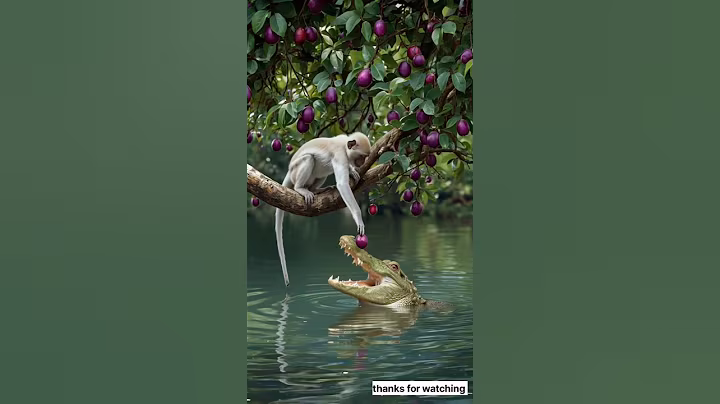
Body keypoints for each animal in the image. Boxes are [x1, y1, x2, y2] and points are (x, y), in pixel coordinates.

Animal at [275, 132, 372, 286]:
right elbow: (342, 184)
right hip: (296, 171)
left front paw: (352, 172)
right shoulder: (340, 155)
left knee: (321, 172)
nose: (362, 162)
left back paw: (316, 189)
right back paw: (300, 188)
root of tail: (289, 172)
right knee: (309, 159)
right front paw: (359, 219)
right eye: (362, 156)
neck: (345, 144)